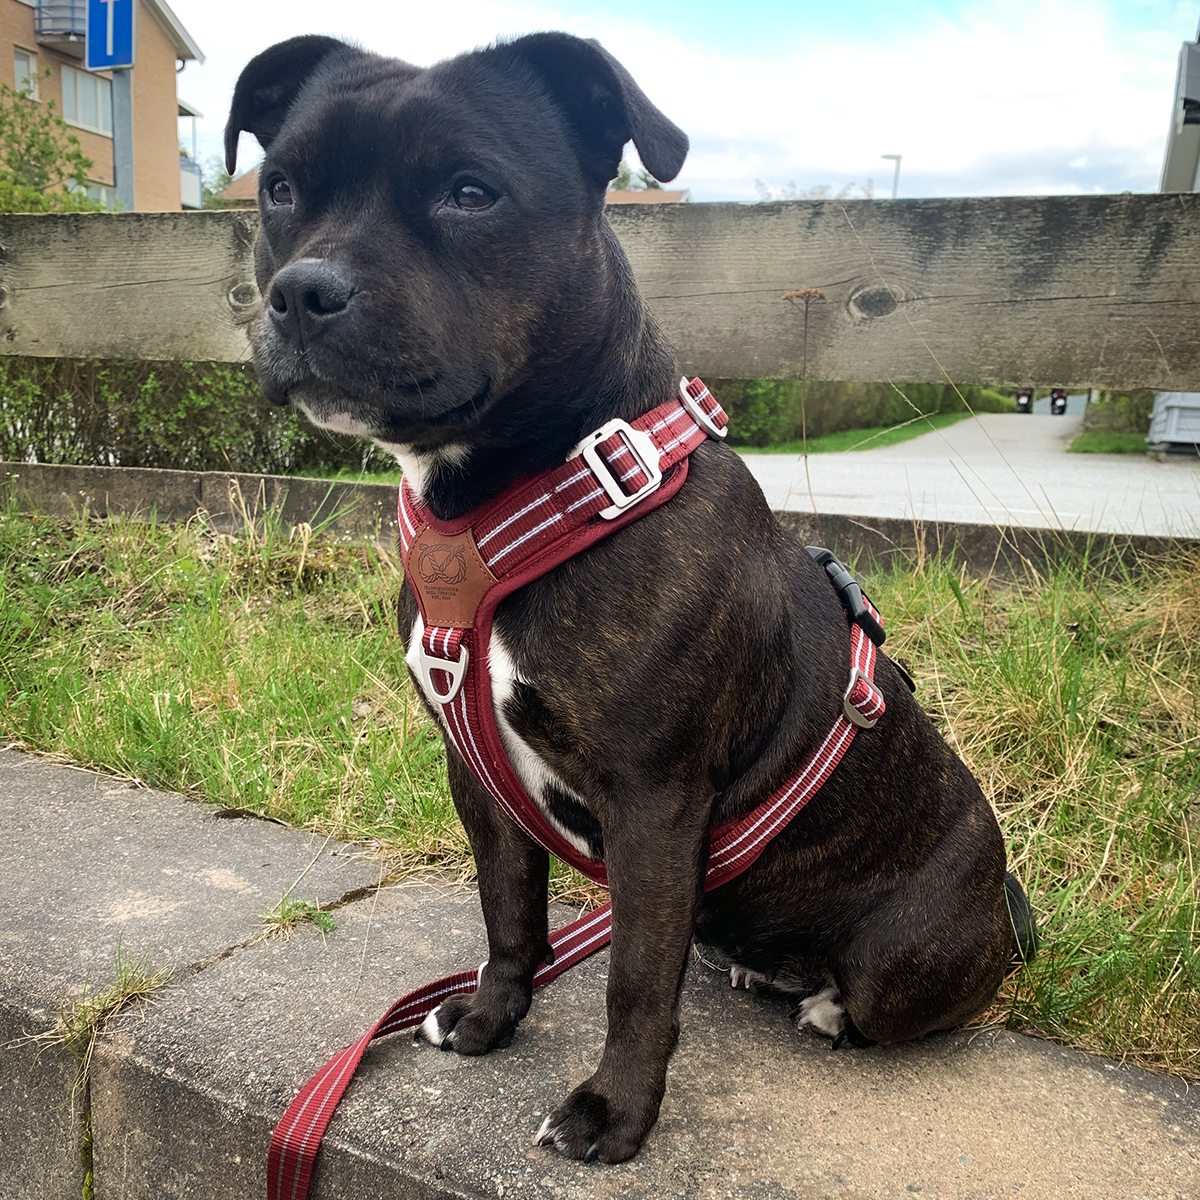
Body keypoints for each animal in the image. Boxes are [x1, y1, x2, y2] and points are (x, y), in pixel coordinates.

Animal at [229, 32, 1036, 1166]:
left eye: (470, 192)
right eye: (282, 190)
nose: (304, 289)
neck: (526, 502)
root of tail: (1005, 905)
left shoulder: (654, 802)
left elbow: (637, 980)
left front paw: (615, 1112)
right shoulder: (479, 778)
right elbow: (509, 912)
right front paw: (490, 1016)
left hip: (907, 958)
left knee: (873, 995)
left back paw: (828, 1002)